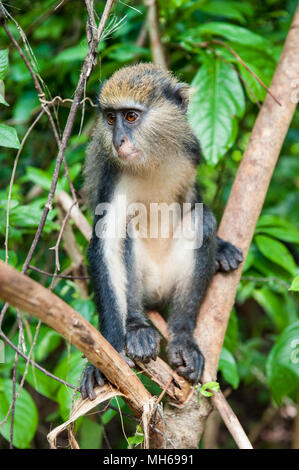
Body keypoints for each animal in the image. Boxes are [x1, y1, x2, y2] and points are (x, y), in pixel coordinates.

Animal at [80, 62, 244, 400]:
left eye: (131, 116)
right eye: (111, 118)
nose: (118, 141)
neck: (152, 159)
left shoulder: (190, 152)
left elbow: (193, 199)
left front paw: (222, 246)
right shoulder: (114, 175)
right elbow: (106, 244)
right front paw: (110, 351)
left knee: (202, 219)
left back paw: (182, 337)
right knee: (126, 234)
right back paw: (137, 328)